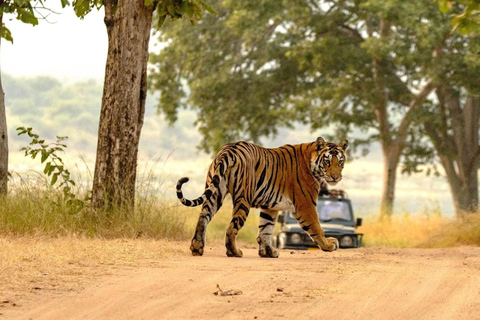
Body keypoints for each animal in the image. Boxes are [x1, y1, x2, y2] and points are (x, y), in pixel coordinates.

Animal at [174, 137, 346, 258]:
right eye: (327, 161)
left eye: (340, 161)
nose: (336, 177)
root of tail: (229, 149)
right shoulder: (305, 204)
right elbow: (316, 227)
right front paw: (329, 245)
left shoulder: (270, 206)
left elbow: (266, 229)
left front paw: (268, 252)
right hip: (244, 198)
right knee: (231, 228)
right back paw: (234, 252)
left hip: (215, 193)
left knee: (203, 217)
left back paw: (197, 247)